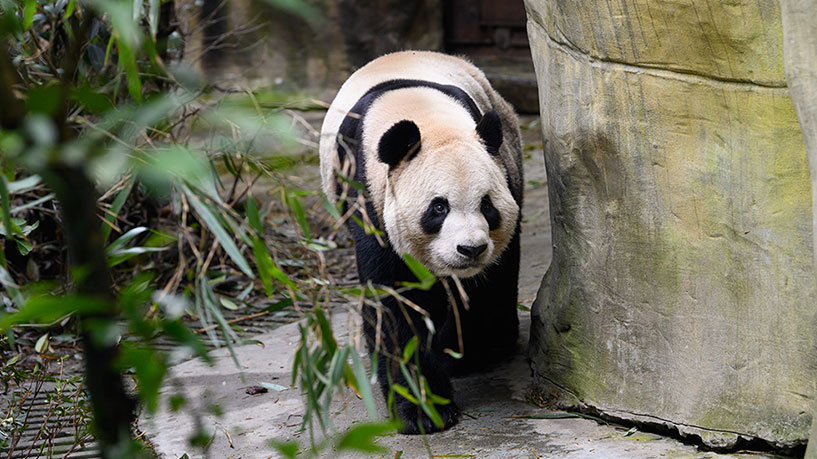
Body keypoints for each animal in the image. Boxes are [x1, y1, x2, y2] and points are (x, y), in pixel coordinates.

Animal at [318, 50, 524, 434]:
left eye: (486, 206)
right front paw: (422, 410)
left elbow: (484, 286)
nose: (470, 249)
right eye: (438, 208)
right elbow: (397, 302)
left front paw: (466, 354)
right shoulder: (367, 195)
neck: (428, 119)